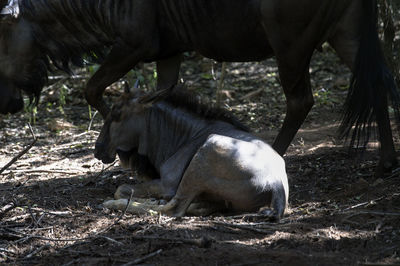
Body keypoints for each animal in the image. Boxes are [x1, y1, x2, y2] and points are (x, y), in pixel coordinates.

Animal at [0, 0, 396, 174]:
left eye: (1, 39)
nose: (9, 105)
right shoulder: (168, 50)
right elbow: (162, 95)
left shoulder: (135, 43)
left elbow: (93, 91)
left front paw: (116, 153)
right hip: (345, 31)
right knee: (380, 82)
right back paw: (387, 160)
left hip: (290, 41)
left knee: (300, 100)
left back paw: (275, 154)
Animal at [94, 85, 288, 220]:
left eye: (117, 113)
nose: (98, 150)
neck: (184, 136)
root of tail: (276, 183)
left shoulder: (168, 184)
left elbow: (121, 188)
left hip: (204, 155)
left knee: (174, 208)